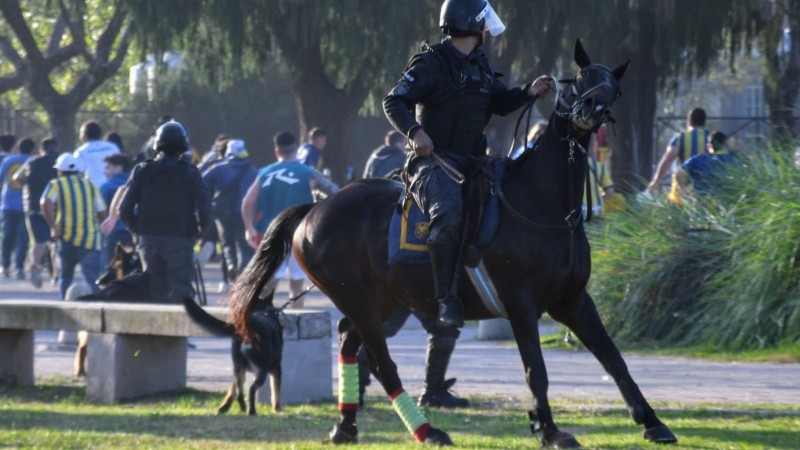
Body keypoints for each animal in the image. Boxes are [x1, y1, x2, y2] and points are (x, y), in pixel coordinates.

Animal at [229, 39, 677, 447]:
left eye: (612, 89)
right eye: (578, 81)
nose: (589, 112)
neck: (541, 205)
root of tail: (315, 208)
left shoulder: (574, 301)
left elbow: (614, 359)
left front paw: (652, 421)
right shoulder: (521, 304)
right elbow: (536, 369)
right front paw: (548, 429)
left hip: (381, 301)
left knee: (349, 342)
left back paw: (346, 425)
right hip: (357, 298)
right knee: (383, 363)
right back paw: (427, 430)